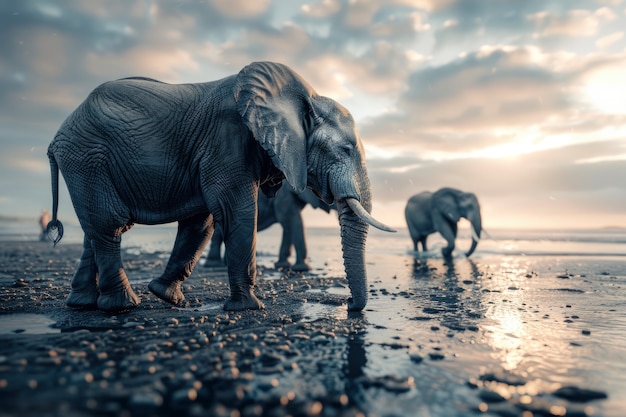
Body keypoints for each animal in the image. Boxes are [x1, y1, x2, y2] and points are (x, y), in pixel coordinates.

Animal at [204, 181, 334, 272]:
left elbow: (288, 225)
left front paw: (282, 265)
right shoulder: (283, 195)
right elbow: (292, 220)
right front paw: (302, 269)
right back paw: (214, 264)